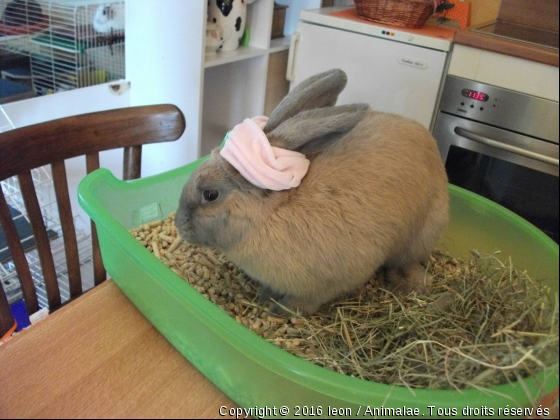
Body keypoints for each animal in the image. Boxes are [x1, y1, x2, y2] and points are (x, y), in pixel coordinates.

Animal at [176, 69, 450, 316]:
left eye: (210, 194)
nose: (179, 225)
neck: (271, 214)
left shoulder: (331, 281)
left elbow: (306, 301)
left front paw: (280, 310)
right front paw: (266, 297)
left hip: (420, 234)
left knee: (407, 261)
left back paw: (409, 284)